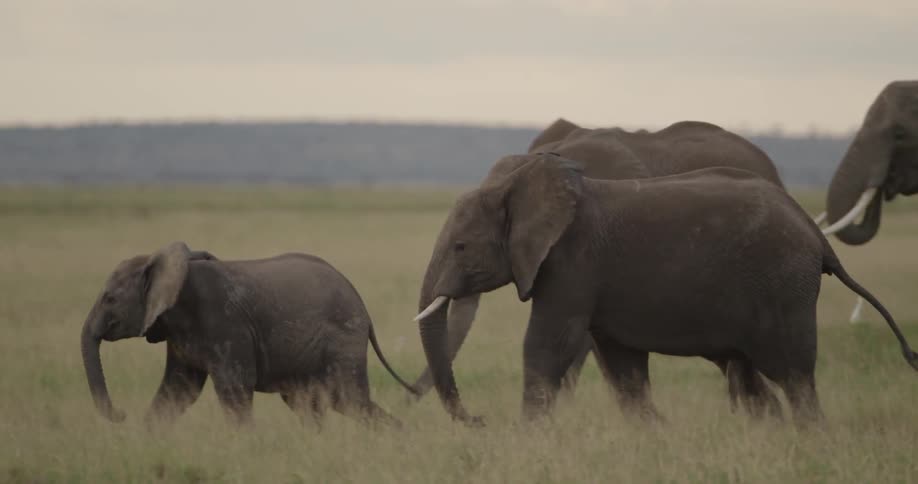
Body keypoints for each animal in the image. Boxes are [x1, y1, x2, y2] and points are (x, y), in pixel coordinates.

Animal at [80, 241, 417, 427]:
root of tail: (365, 310)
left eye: (109, 298)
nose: (121, 414)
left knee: (348, 400)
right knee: (309, 405)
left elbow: (234, 391)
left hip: (343, 338)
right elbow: (178, 391)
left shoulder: (225, 324)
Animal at [413, 153, 918, 427]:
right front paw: (657, 433)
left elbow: (546, 345)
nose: (480, 419)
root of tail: (816, 236)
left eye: (460, 247)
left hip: (783, 288)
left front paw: (527, 439)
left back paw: (809, 436)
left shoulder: (572, 263)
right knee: (752, 376)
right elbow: (621, 363)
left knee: (792, 374)